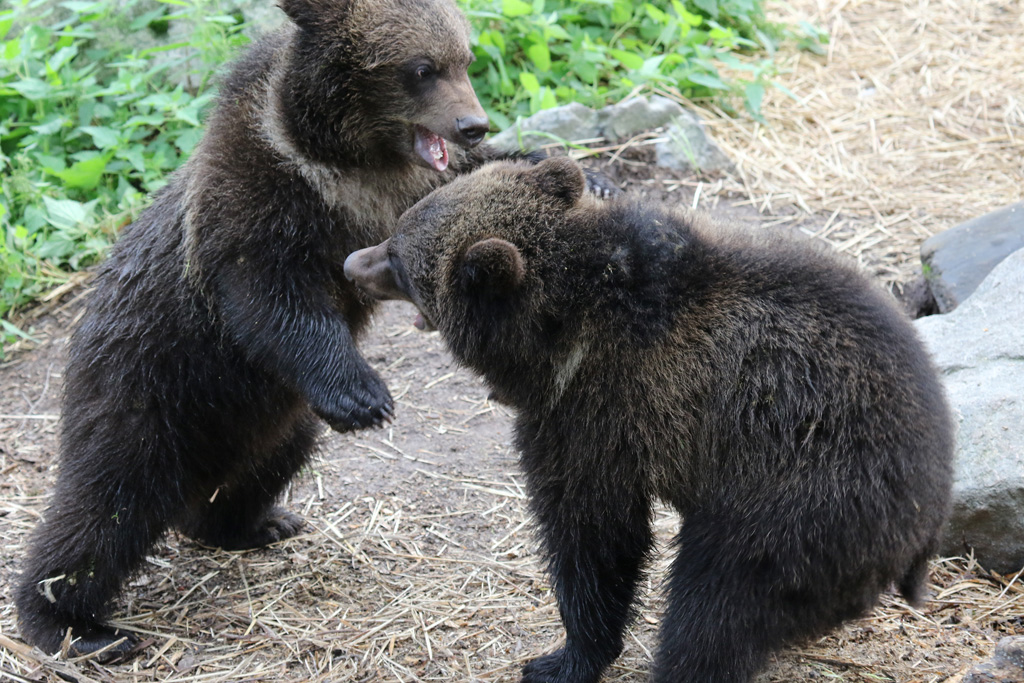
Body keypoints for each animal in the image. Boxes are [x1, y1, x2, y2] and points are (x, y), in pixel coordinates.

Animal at [14, 0, 618, 660]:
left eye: (465, 57)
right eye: (421, 68)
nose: (473, 124)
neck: (347, 161)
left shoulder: (409, 190)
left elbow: (473, 191)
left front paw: (585, 176)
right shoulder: (261, 198)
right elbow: (271, 295)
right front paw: (365, 397)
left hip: (267, 417)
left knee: (262, 465)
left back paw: (257, 521)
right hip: (148, 392)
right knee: (103, 507)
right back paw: (72, 623)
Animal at [343, 157, 956, 683]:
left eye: (399, 260)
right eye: (400, 225)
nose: (352, 263)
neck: (559, 328)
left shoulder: (598, 415)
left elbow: (595, 536)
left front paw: (564, 657)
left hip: (795, 500)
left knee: (715, 605)